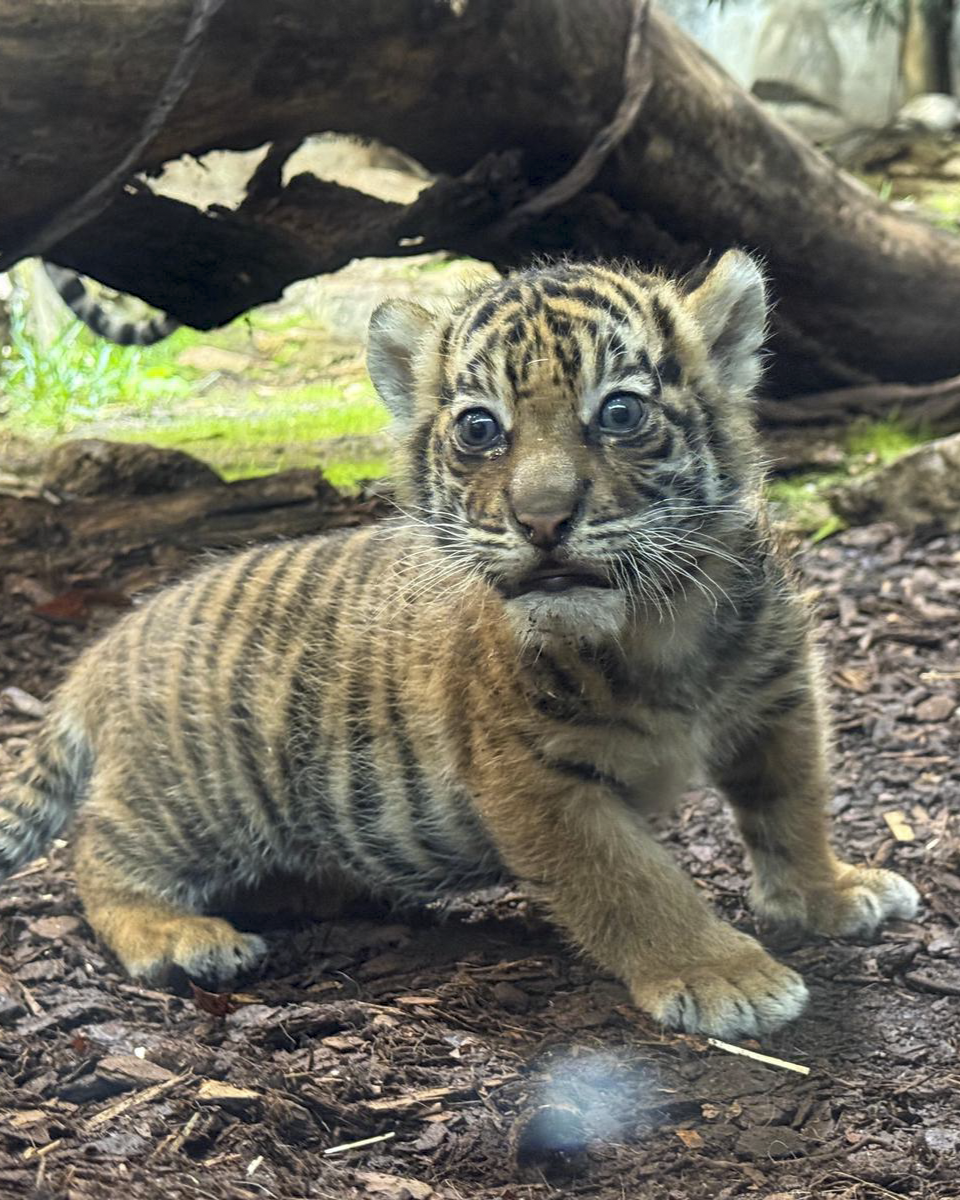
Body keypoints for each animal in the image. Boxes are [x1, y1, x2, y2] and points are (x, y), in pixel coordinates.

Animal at [0, 251, 919, 1038]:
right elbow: (632, 881)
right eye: (481, 429)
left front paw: (827, 894)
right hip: (192, 795)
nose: (542, 519)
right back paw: (178, 936)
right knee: (99, 850)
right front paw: (723, 973)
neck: (661, 621)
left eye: (619, 412)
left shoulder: (778, 700)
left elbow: (793, 804)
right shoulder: (536, 776)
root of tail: (106, 645)